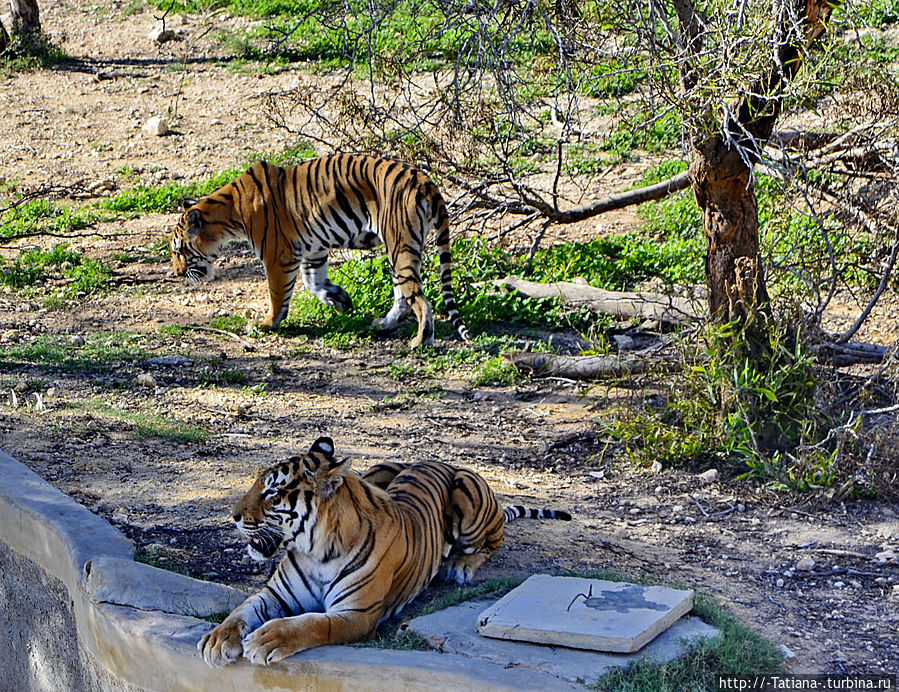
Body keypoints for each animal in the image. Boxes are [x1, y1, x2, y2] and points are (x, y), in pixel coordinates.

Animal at [168, 151, 472, 346]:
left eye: (180, 251)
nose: (177, 274)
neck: (230, 212)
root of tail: (426, 182)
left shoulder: (277, 256)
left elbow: (278, 295)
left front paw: (267, 324)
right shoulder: (313, 250)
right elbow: (313, 282)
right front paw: (340, 299)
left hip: (400, 245)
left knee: (420, 300)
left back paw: (422, 340)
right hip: (399, 251)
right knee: (404, 297)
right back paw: (383, 324)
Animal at [200, 436, 572, 668]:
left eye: (273, 493)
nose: (233, 516)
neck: (314, 551)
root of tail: (437, 459)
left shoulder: (356, 614)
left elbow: (311, 624)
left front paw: (268, 638)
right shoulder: (274, 594)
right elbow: (241, 612)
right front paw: (217, 640)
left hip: (467, 495)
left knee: (492, 542)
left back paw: (460, 565)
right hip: (378, 468)